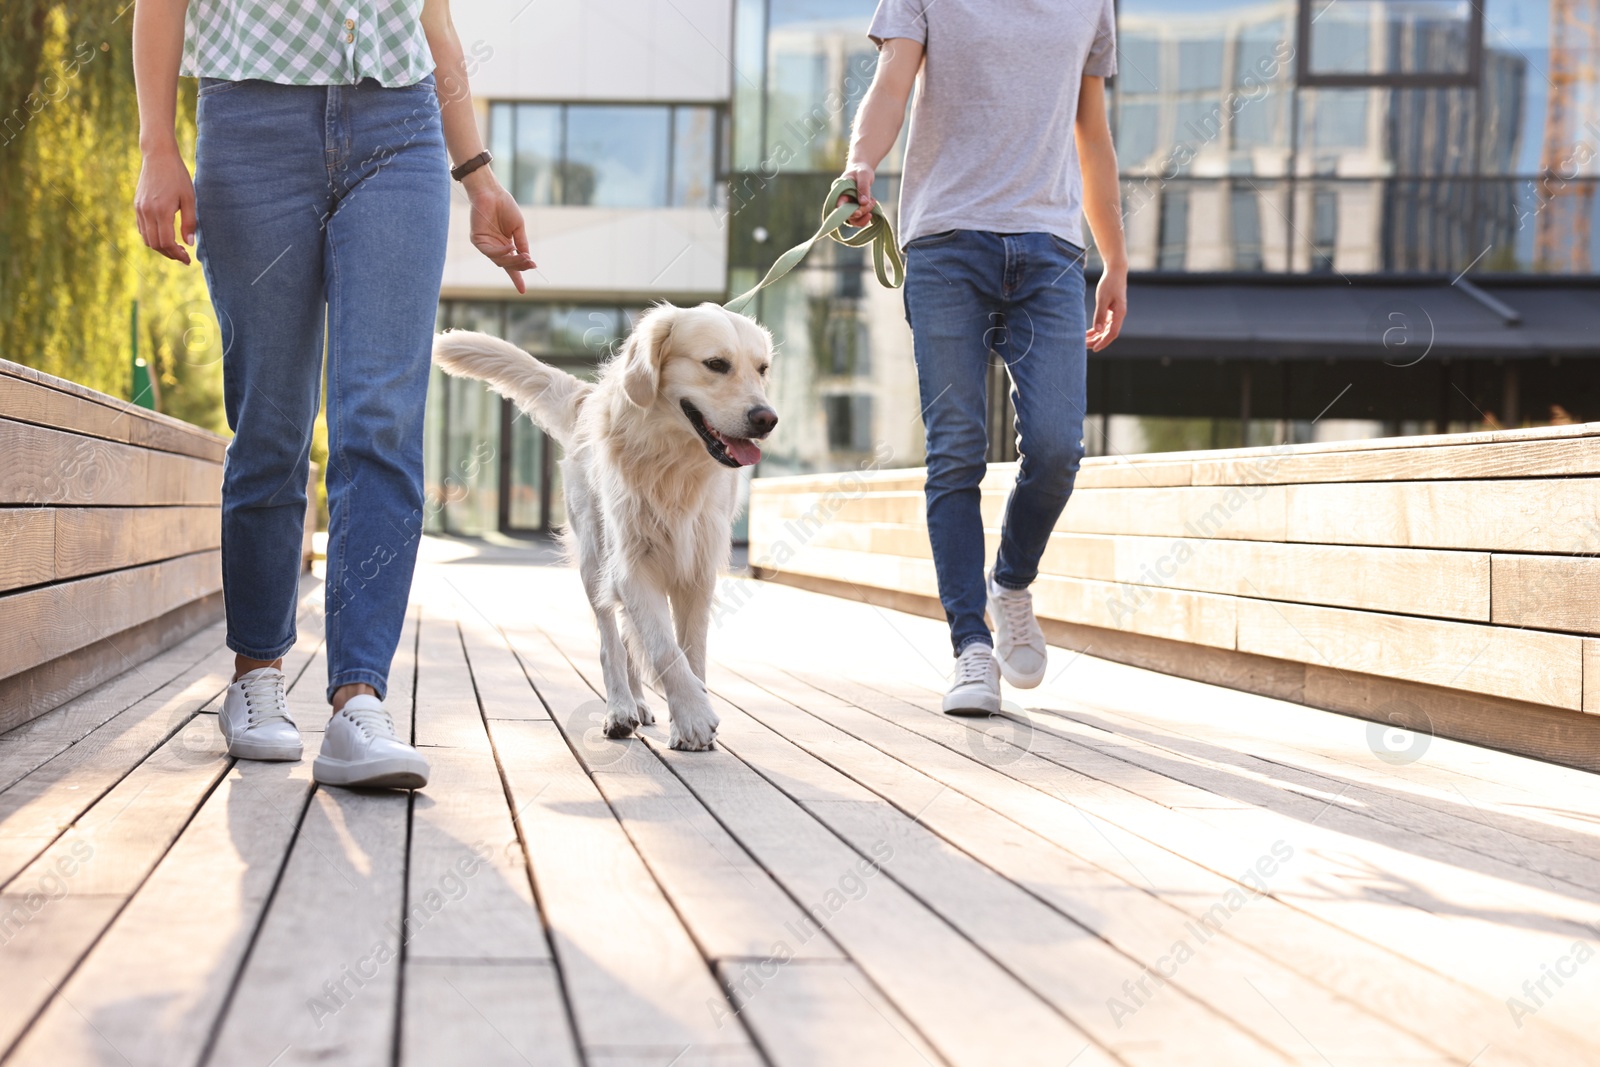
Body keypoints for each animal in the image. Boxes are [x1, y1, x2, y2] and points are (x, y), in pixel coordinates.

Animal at [425, 302, 774, 751]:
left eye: (762, 368)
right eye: (716, 364)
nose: (767, 419)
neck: (671, 464)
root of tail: (585, 399)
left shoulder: (698, 564)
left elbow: (690, 649)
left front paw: (691, 711)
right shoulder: (631, 563)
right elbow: (663, 648)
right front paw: (693, 716)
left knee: (627, 636)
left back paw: (639, 703)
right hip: (594, 556)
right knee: (612, 640)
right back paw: (622, 709)